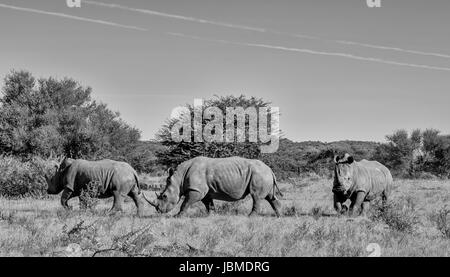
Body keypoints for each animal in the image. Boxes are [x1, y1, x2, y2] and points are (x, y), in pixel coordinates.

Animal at [144, 155, 282, 216]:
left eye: (164, 196)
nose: (159, 211)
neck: (179, 178)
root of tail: (270, 169)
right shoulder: (204, 191)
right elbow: (208, 203)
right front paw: (211, 215)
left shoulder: (196, 190)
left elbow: (185, 203)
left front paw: (177, 216)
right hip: (263, 175)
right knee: (270, 197)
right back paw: (279, 216)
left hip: (259, 174)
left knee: (256, 196)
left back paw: (250, 217)